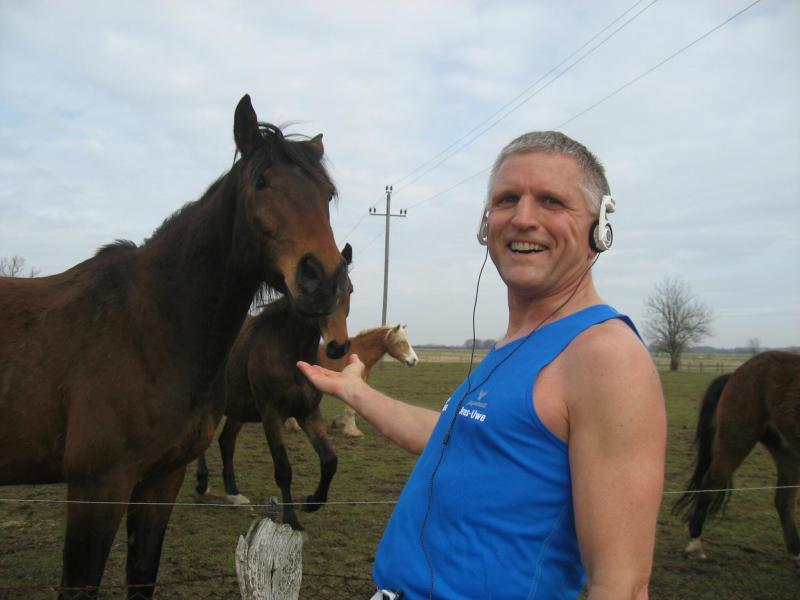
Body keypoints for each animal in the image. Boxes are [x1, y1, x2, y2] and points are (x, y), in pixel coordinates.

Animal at [195, 248, 354, 530]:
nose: (337, 347)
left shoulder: (308, 412)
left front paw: (312, 502)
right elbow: (283, 469)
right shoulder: (271, 415)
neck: (289, 350)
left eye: (351, 290)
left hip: (238, 410)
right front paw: (291, 519)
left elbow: (329, 461)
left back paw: (233, 492)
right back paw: (202, 482)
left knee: (226, 442)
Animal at [672, 351, 800, 564]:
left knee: (784, 501)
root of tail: (736, 372)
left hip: (786, 451)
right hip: (737, 441)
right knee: (710, 484)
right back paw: (695, 544)